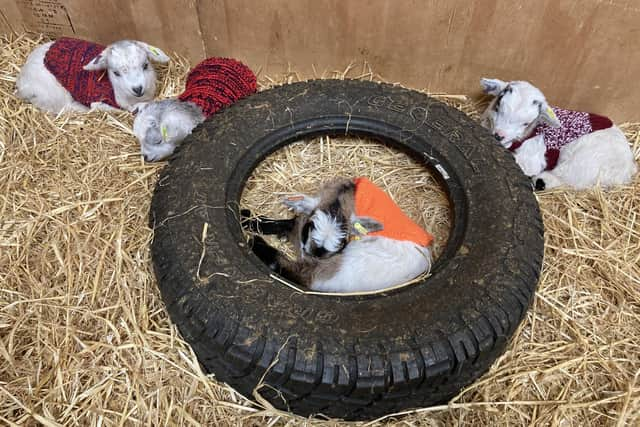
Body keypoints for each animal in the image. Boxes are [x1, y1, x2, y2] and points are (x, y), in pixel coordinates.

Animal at [242, 177, 432, 294]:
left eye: (342, 242)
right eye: (310, 226)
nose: (314, 255)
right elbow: (288, 223)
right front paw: (247, 217)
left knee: (297, 273)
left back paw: (256, 243)